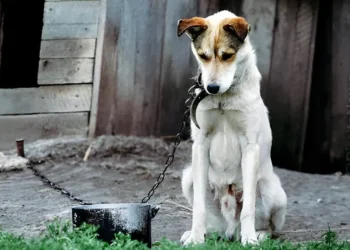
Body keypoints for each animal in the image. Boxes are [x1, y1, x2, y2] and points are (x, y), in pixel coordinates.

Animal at [178, 10, 288, 245]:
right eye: (203, 55)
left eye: (227, 55)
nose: (211, 87)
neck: (224, 98)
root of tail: (230, 228)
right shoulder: (200, 145)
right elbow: (198, 208)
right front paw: (195, 238)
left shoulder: (250, 147)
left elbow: (248, 208)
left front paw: (249, 240)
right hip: (189, 178)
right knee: (214, 223)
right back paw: (201, 233)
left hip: (272, 191)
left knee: (269, 226)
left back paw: (257, 234)